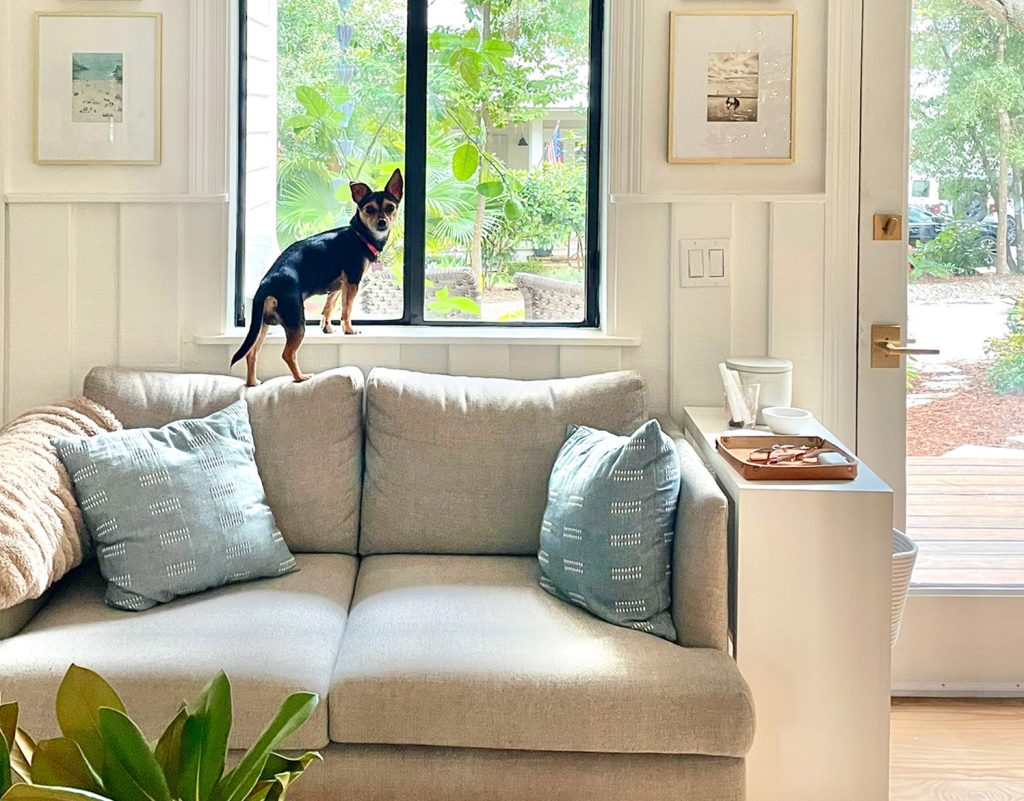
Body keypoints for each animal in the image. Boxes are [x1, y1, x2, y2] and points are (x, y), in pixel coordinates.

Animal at [232, 167, 403, 387]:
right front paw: (349, 329)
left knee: (251, 353)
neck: (360, 235)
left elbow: (329, 308)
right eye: (369, 209)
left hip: (262, 326)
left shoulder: (338, 286)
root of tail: (265, 286)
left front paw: (327, 327)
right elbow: (347, 310)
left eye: (390, 207)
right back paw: (300, 378)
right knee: (287, 354)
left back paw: (252, 383)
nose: (382, 222)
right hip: (297, 322)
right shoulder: (352, 281)